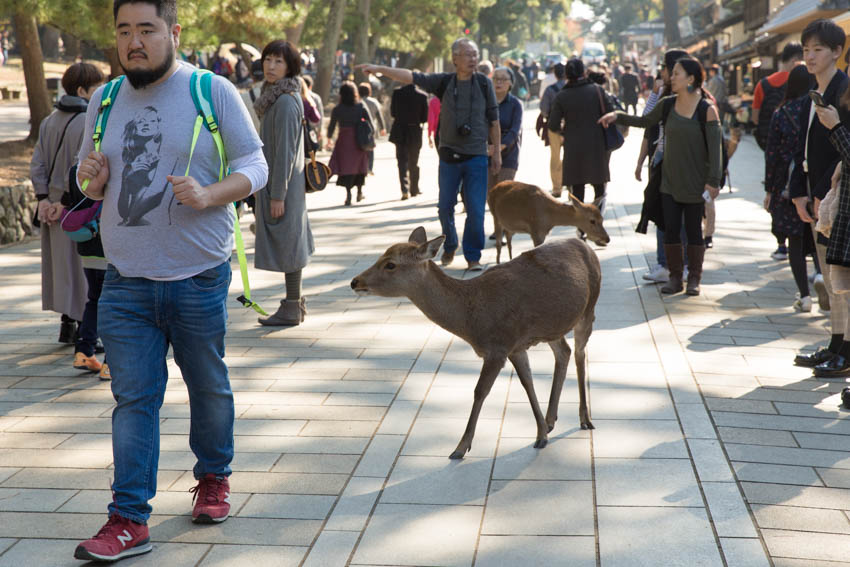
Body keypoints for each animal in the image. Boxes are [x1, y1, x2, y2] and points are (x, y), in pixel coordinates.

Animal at [348, 227, 600, 462]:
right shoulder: (515, 345)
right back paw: (551, 420)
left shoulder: (499, 347)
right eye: (381, 256)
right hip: (552, 327)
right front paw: (541, 433)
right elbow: (527, 382)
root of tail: (585, 245)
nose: (354, 281)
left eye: (390, 264)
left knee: (579, 353)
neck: (472, 321)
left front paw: (460, 448)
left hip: (589, 308)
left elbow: (480, 391)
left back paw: (585, 418)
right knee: (564, 352)